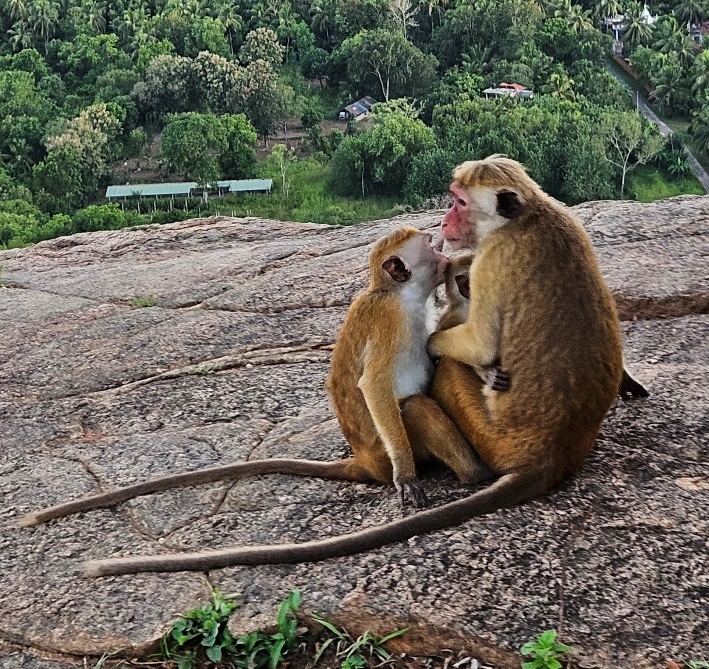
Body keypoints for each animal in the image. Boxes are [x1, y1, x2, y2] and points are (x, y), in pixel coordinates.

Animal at [74, 157, 624, 576]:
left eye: (459, 203)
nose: (444, 228)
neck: (527, 218)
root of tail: (549, 458)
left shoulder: (490, 258)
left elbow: (475, 342)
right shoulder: (401, 313)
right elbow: (382, 379)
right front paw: (409, 471)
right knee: (419, 402)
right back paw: (459, 471)